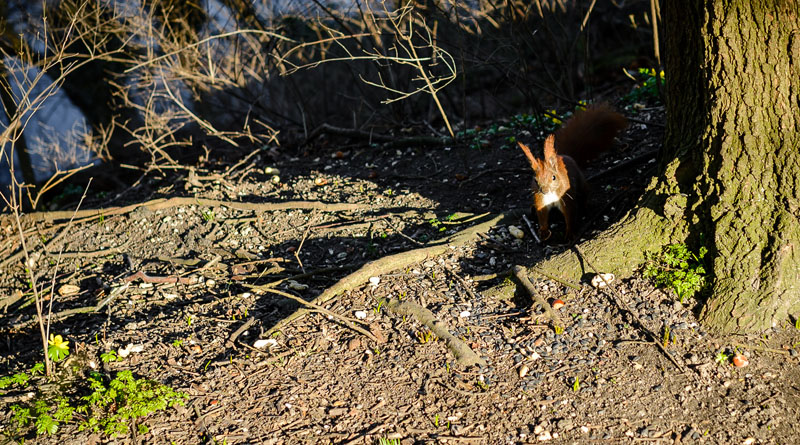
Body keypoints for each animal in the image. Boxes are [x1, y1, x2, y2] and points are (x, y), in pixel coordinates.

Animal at [520, 104, 624, 241]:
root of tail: (564, 156)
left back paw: (585, 207)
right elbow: (542, 216)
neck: (551, 195)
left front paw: (569, 233)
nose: (544, 190)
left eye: (554, 177)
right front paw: (544, 232)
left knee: (585, 193)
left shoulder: (567, 199)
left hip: (581, 183)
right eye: (535, 180)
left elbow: (570, 216)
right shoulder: (540, 200)